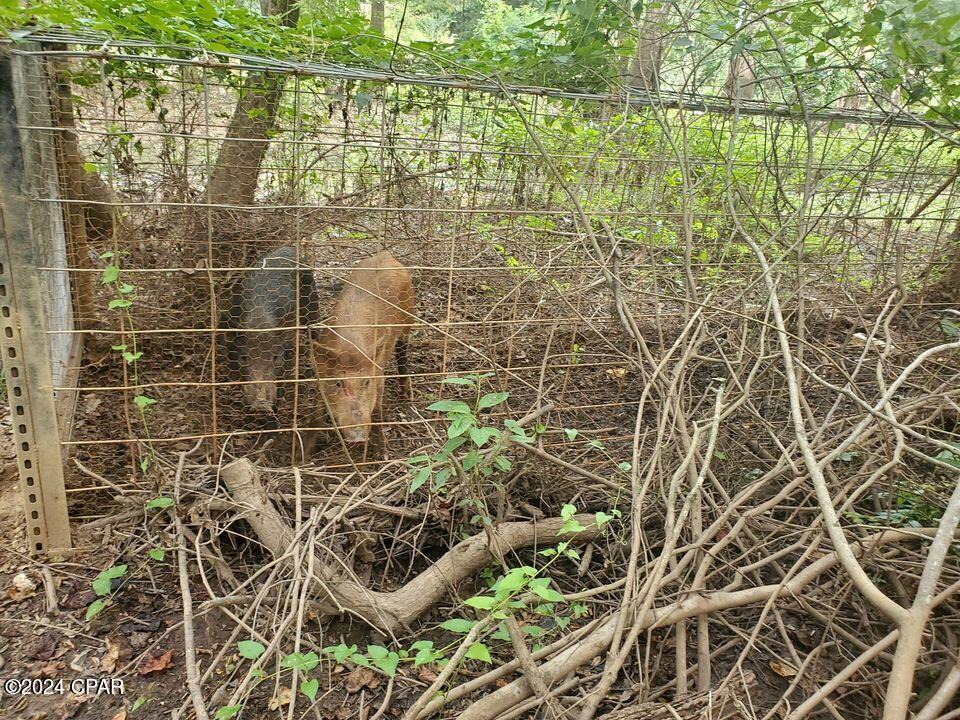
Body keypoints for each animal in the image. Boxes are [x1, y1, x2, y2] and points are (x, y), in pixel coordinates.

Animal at [310, 253, 410, 444]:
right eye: (338, 383)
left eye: (366, 382)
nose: (357, 435)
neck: (350, 348)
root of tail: (385, 255)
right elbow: (317, 410)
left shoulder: (378, 374)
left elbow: (377, 411)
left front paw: (381, 449)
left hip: (409, 316)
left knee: (403, 353)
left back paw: (407, 396)